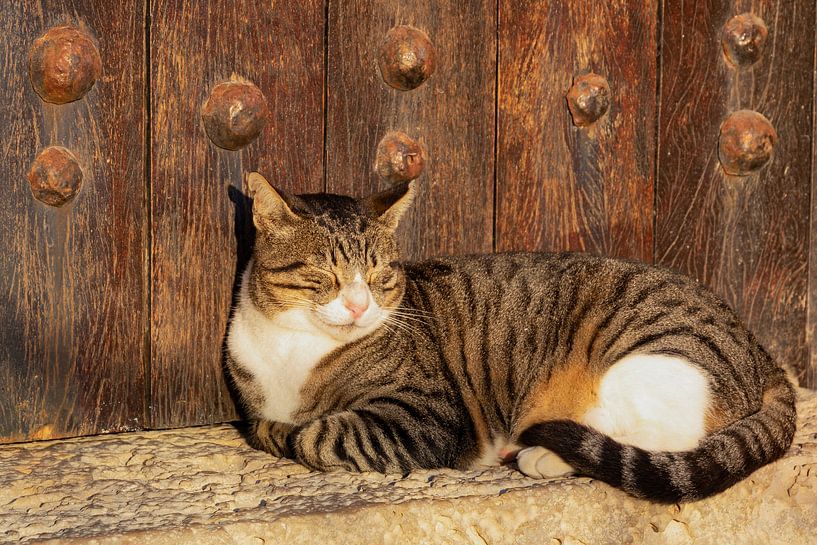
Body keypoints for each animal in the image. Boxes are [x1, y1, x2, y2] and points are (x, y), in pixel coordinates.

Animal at [222, 171, 792, 502]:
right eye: (326, 274)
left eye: (381, 273)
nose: (361, 304)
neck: (293, 348)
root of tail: (760, 351)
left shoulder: (422, 420)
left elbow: (313, 435)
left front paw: (276, 431)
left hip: (652, 357)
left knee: (664, 436)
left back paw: (542, 453)